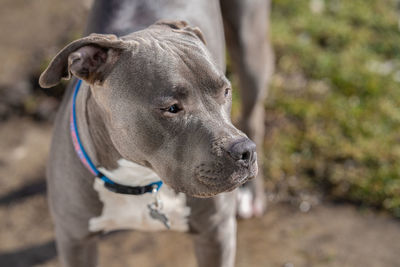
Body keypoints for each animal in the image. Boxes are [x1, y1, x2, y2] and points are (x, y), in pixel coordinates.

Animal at [39, 0, 274, 267]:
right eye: (171, 108)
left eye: (225, 91)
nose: (245, 151)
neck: (138, 179)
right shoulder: (75, 241)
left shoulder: (216, 233)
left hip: (249, 45)